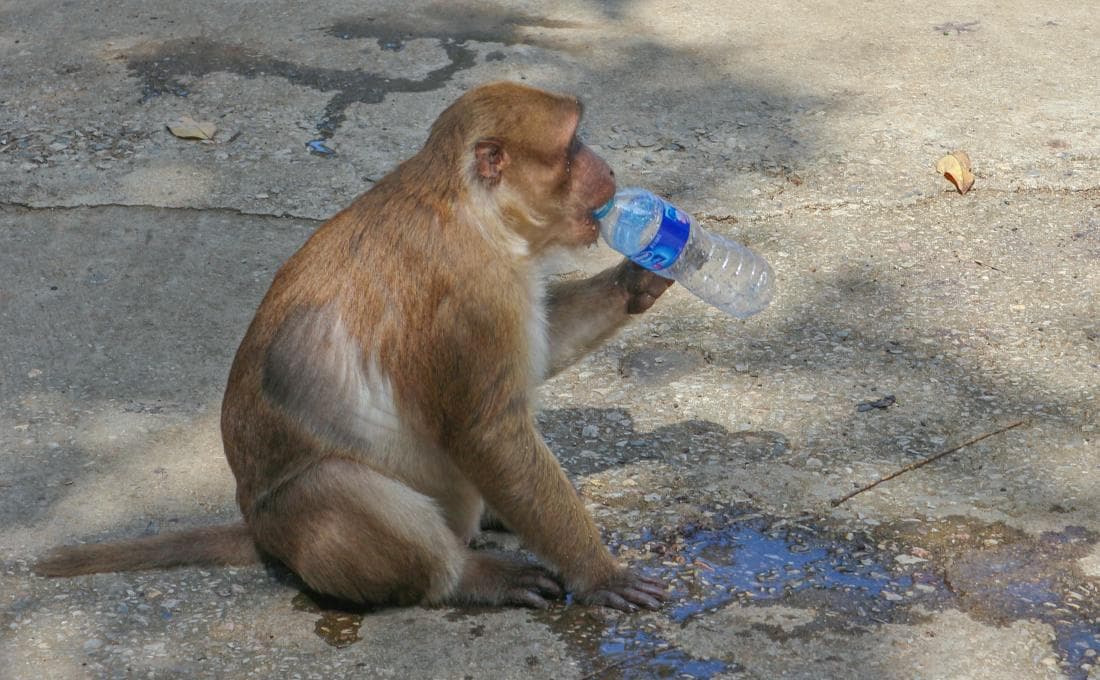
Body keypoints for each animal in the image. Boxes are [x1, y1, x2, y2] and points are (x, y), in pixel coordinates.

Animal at [35, 82, 672, 612]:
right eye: (573, 144)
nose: (608, 166)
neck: (474, 210)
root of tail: (263, 535)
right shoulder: (471, 291)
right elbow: (487, 430)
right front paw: (599, 572)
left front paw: (642, 275)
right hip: (304, 529)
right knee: (335, 483)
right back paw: (466, 576)